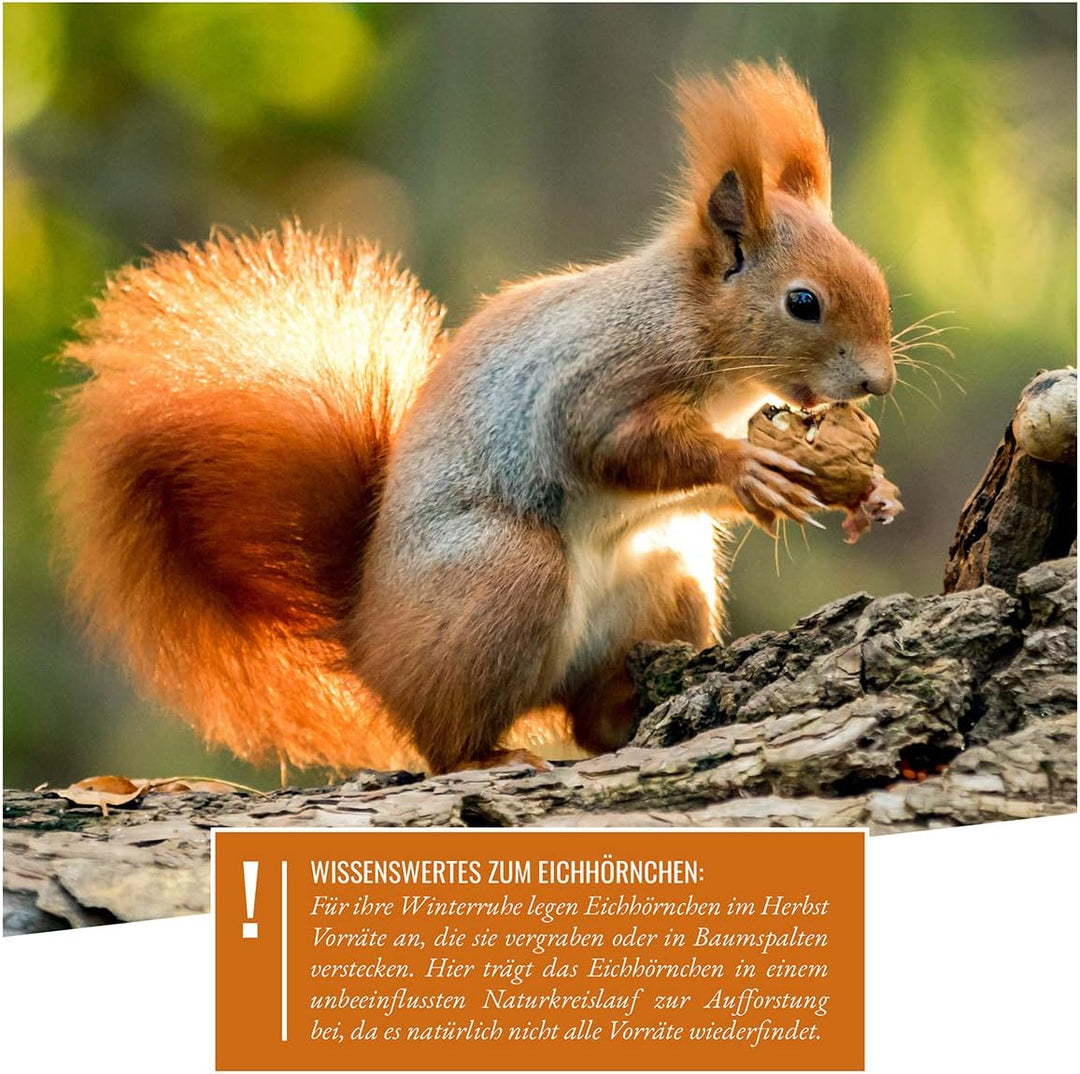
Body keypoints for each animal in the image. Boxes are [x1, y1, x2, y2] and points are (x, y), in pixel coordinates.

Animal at [50, 62, 896, 777]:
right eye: (803, 302)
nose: (878, 382)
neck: (701, 332)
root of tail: (368, 640)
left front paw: (868, 493)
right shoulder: (600, 378)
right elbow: (612, 445)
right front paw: (748, 466)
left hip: (666, 583)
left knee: (590, 717)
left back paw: (623, 719)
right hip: (504, 576)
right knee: (446, 739)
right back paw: (487, 755)